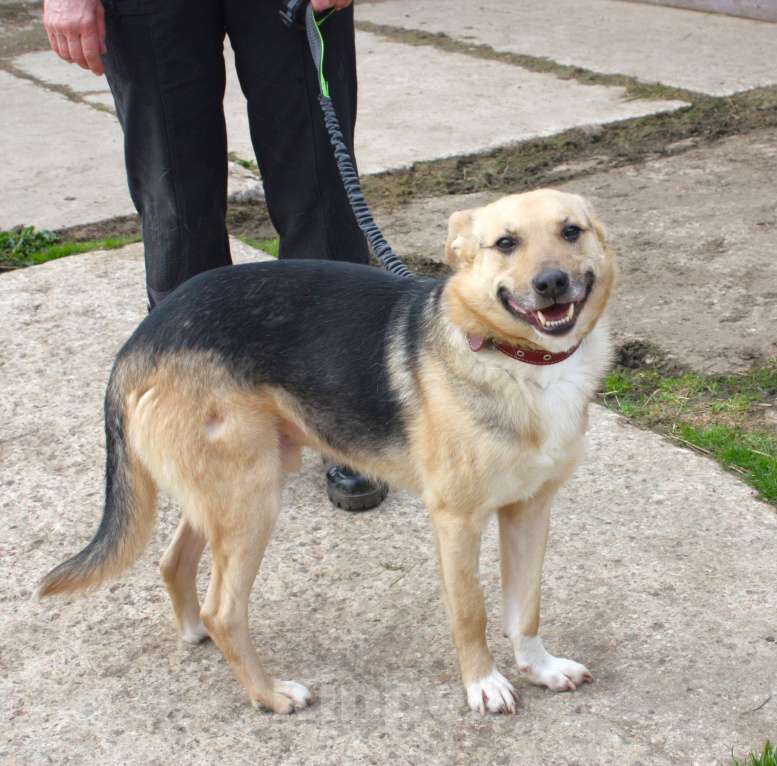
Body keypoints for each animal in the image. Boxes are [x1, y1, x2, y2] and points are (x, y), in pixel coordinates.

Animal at [39, 189, 616, 716]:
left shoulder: (530, 509)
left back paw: (195, 634)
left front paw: (540, 668)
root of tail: (143, 338)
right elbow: (471, 612)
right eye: (505, 243)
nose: (551, 283)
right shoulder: (457, 521)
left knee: (174, 562)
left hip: (229, 491)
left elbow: (526, 607)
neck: (521, 363)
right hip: (251, 500)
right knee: (223, 610)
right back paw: (270, 695)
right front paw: (483, 683)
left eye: (571, 231)